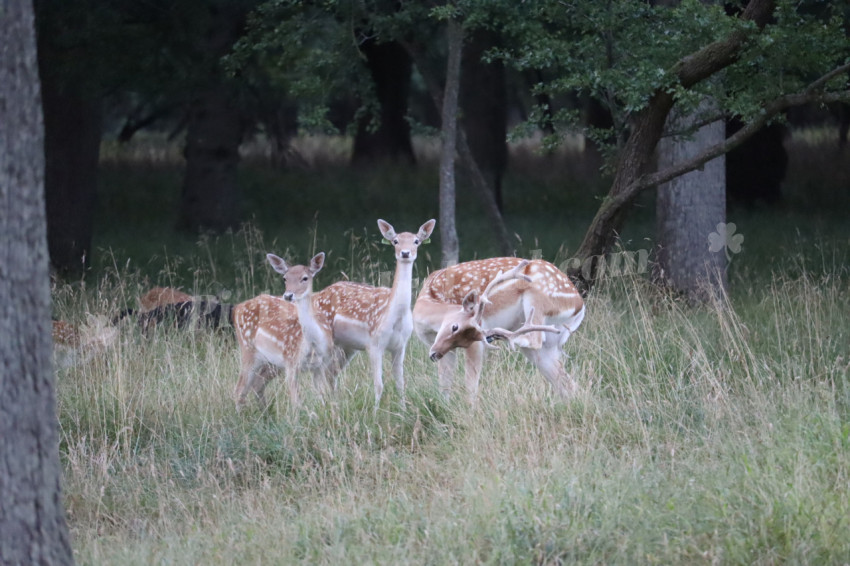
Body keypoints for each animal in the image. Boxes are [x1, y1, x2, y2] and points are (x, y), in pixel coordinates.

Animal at [413, 257, 585, 403]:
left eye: (455, 327)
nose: (434, 354)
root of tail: (579, 304)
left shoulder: (475, 345)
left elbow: (471, 384)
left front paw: (470, 412)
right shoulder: (440, 346)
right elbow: (444, 384)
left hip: (537, 297)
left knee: (534, 339)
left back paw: (504, 336)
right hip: (549, 345)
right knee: (567, 383)